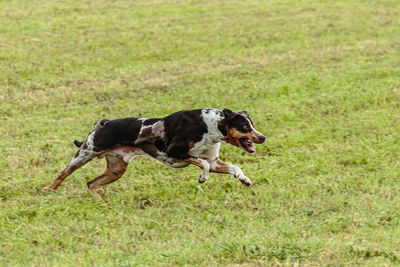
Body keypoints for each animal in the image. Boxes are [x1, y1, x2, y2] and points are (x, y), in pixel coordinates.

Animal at [43, 109, 266, 199]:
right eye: (245, 126)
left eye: (252, 124)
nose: (262, 137)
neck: (212, 126)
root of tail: (105, 122)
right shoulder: (174, 151)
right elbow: (201, 164)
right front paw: (202, 178)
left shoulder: (214, 161)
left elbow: (234, 167)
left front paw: (244, 179)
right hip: (85, 153)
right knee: (63, 174)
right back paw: (47, 189)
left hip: (116, 170)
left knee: (91, 183)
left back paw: (100, 201)